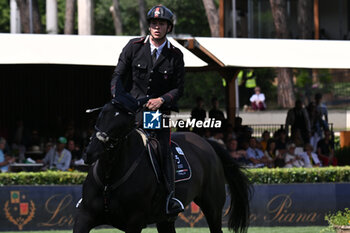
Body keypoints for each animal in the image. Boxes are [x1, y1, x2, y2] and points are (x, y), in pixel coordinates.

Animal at [74, 100, 250, 233]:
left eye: (122, 125)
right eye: (100, 117)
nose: (90, 153)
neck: (109, 179)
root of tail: (207, 143)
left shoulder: (134, 222)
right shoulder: (85, 216)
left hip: (212, 207)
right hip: (166, 220)